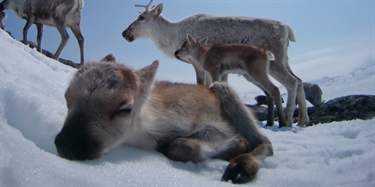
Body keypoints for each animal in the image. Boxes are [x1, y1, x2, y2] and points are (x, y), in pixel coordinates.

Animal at [55, 54, 274, 184]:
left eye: (124, 108)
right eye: (67, 98)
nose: (67, 144)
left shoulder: (217, 126)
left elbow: (181, 145)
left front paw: (238, 145)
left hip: (226, 90)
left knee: (265, 142)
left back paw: (242, 167)